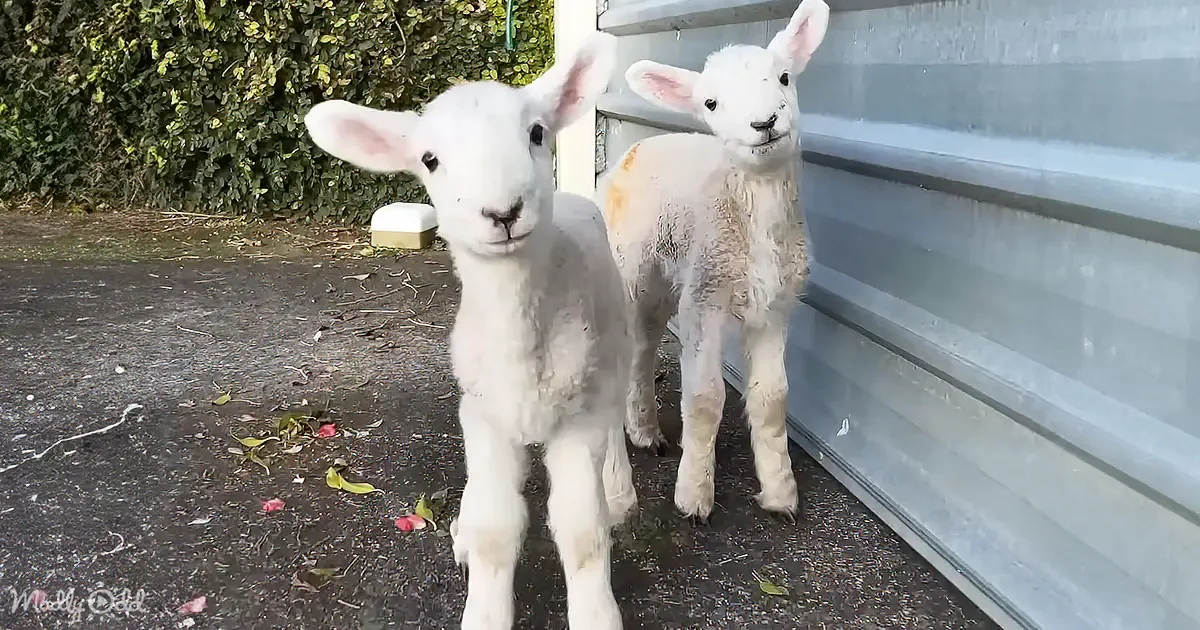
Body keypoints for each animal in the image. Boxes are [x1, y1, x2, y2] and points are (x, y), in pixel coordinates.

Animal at [303, 32, 636, 630]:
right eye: (429, 160)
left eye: (537, 133)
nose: (502, 213)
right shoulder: (483, 415)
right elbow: (494, 530)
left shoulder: (579, 419)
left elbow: (582, 531)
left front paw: (597, 612)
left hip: (613, 353)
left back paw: (620, 491)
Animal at [599, 0, 830, 523]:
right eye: (710, 104)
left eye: (784, 76)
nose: (764, 123)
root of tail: (638, 148)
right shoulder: (706, 297)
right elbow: (705, 399)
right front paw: (693, 497)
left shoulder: (776, 303)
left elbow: (772, 398)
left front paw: (780, 492)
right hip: (626, 266)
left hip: (661, 281)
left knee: (642, 348)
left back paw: (644, 430)